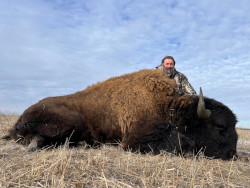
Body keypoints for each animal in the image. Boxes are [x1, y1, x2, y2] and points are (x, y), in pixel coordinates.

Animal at [2, 69, 238, 160]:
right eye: (219, 127)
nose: (233, 154)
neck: (169, 107)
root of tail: (17, 122)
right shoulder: (133, 141)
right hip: (70, 121)